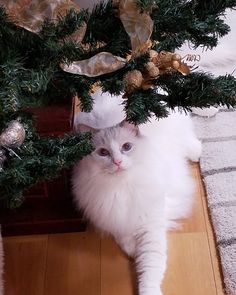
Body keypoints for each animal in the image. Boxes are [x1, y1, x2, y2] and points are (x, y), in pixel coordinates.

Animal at [72, 91, 201, 294]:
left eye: (126, 147)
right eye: (103, 152)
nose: (117, 162)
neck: (121, 186)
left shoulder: (151, 225)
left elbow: (150, 266)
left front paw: (149, 289)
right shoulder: (112, 216)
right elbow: (124, 238)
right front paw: (133, 249)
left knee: (190, 134)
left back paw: (197, 150)